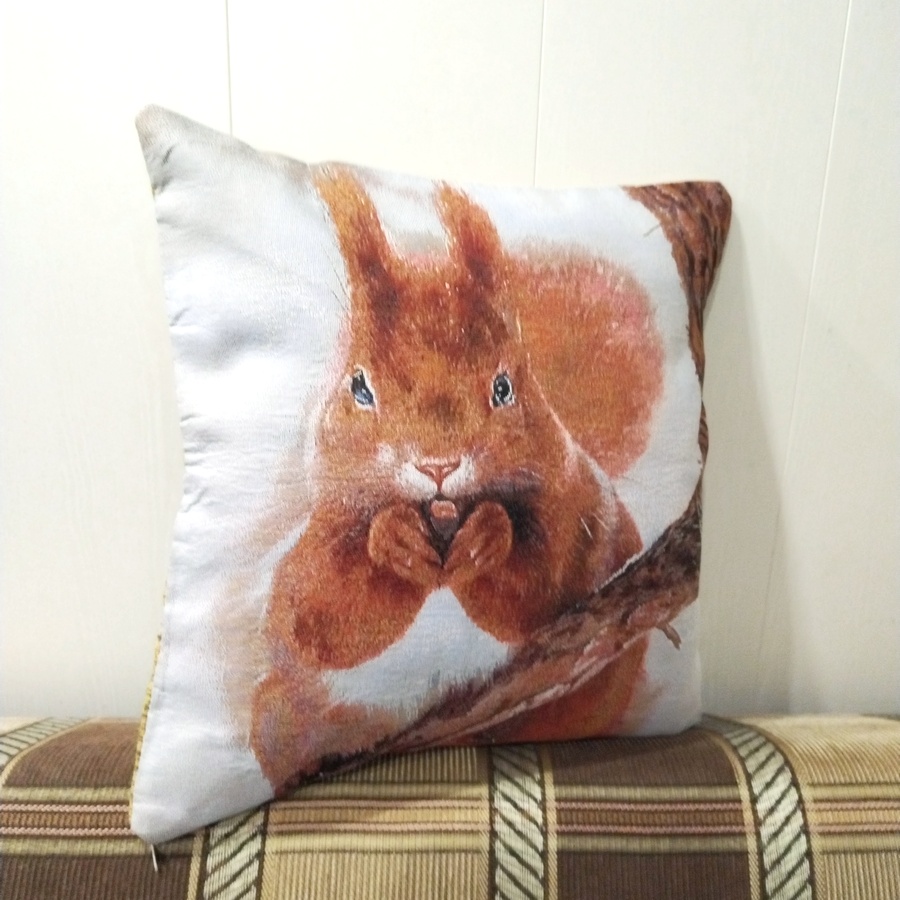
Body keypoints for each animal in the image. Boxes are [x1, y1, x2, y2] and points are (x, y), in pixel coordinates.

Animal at [250, 169, 659, 789]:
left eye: (505, 387)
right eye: (359, 387)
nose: (437, 465)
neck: (443, 516)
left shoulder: (579, 514)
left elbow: (544, 587)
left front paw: (488, 536)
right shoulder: (326, 532)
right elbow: (322, 616)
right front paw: (393, 539)